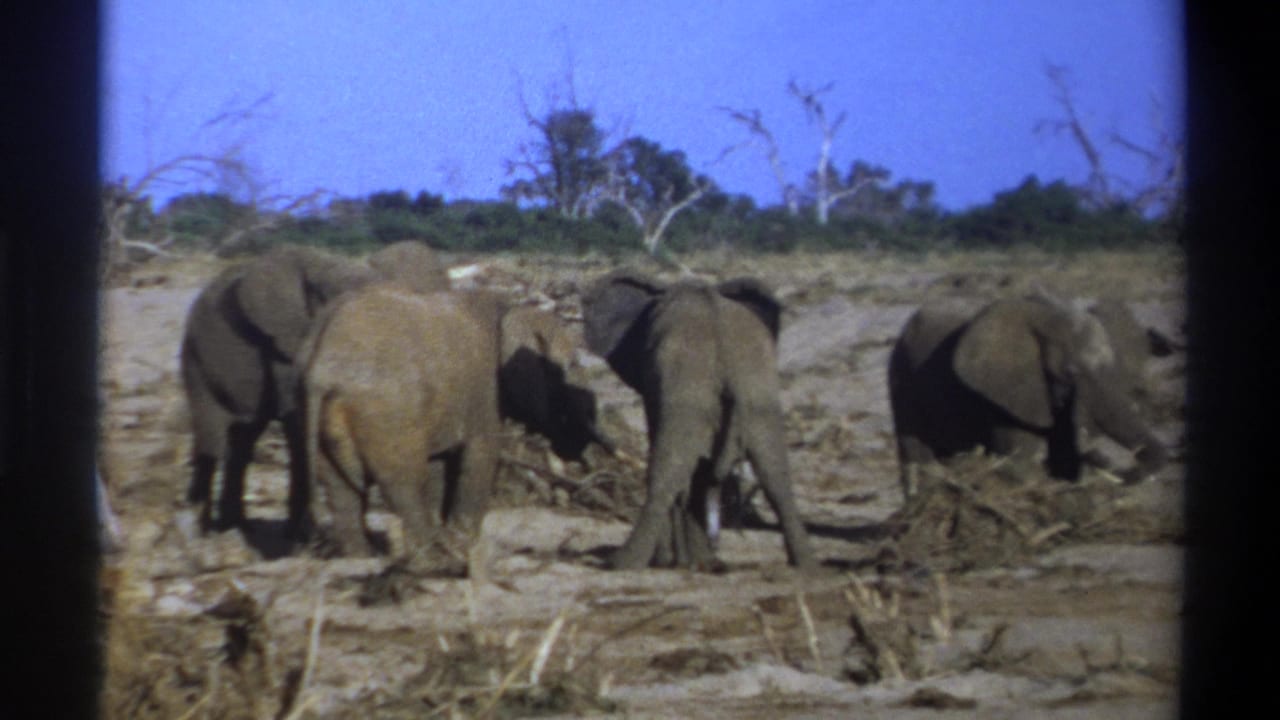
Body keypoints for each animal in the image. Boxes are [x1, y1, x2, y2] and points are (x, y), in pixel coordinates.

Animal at [179, 241, 449, 539]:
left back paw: (234, 527)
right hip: (196, 359)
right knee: (212, 440)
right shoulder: (283, 346)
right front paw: (301, 540)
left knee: (242, 442)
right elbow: (298, 422)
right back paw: (204, 531)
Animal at [298, 285, 609, 572]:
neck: (508, 309)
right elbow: (481, 456)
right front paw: (462, 542)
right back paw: (431, 559)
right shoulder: (485, 393)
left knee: (340, 488)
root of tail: (323, 366)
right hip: (387, 412)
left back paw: (361, 558)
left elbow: (441, 464)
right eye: (569, 367)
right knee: (403, 482)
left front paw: (451, 536)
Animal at [581, 270, 816, 572]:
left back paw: (621, 563)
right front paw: (697, 561)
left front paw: (676, 561)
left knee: (667, 471)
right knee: (775, 475)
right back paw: (806, 565)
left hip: (692, 389)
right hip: (758, 392)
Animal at [887, 293, 1170, 500]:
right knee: (917, 455)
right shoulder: (1004, 392)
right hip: (902, 378)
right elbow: (1019, 461)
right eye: (1071, 372)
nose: (1095, 452)